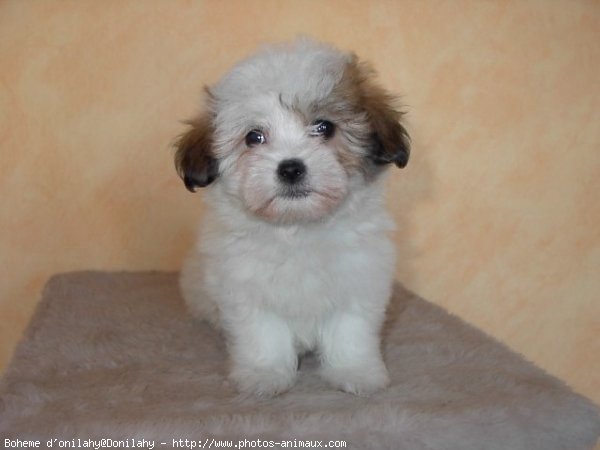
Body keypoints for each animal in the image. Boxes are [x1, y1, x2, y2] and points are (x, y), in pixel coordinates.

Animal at [173, 39, 408, 398]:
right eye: (253, 137)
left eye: (324, 127)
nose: (291, 167)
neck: (298, 228)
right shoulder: (244, 286)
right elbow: (263, 334)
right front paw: (264, 374)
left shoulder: (360, 276)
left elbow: (350, 330)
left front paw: (354, 371)